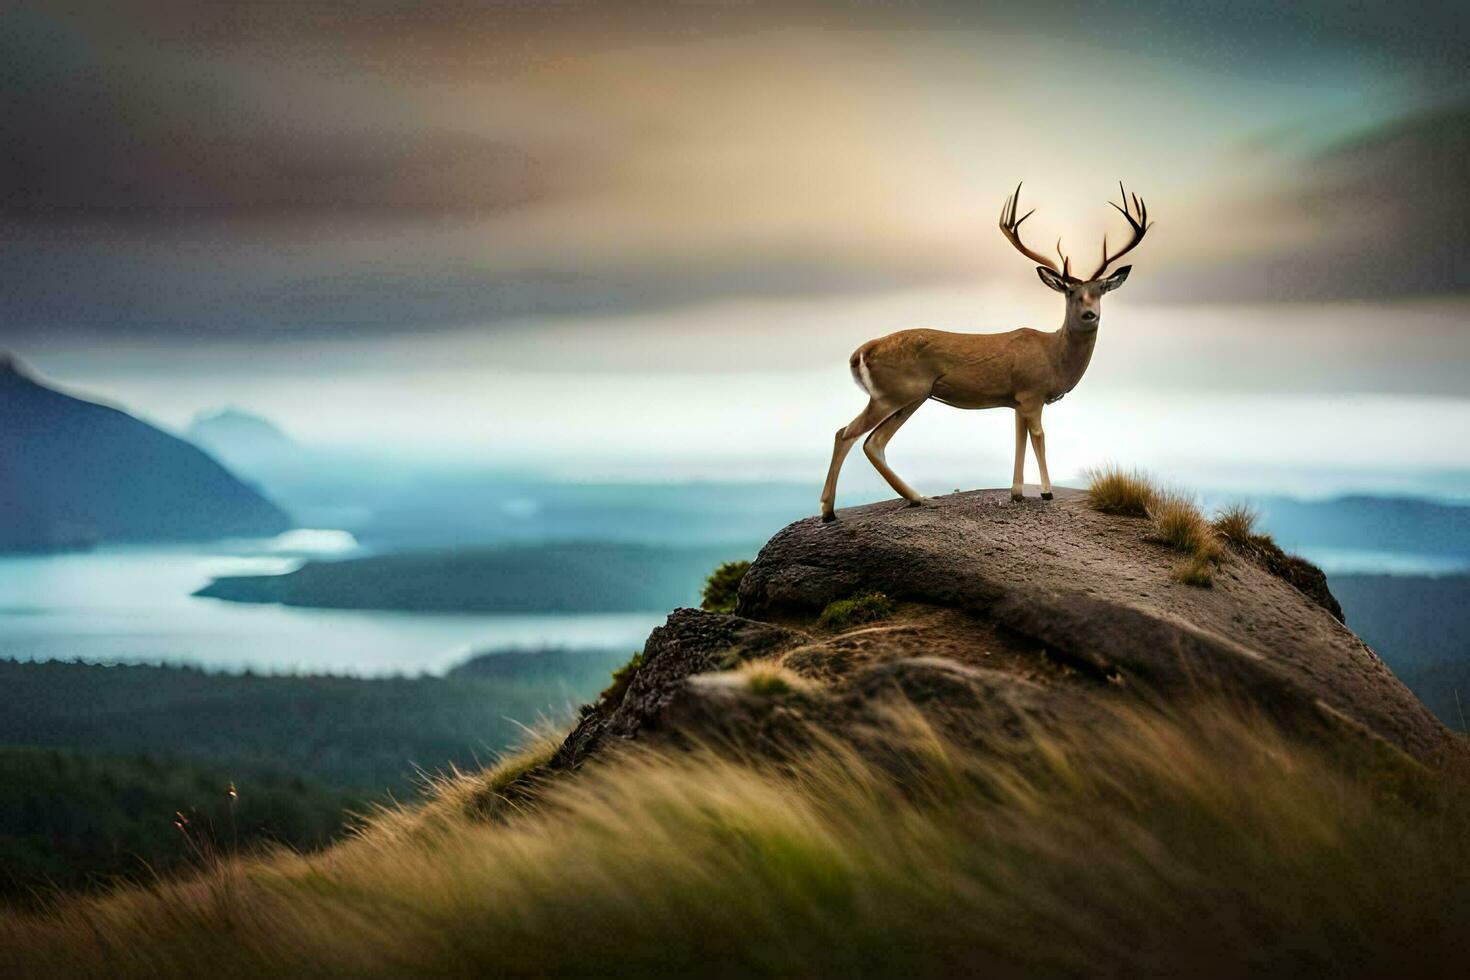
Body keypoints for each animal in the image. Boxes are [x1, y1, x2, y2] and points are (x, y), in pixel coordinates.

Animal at [817, 181, 1146, 525]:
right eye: (1070, 292)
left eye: (1100, 290)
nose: (1089, 314)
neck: (1054, 356)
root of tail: (860, 352)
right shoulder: (1032, 392)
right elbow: (1039, 436)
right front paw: (1046, 492)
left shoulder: (1017, 400)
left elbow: (1019, 439)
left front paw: (1017, 492)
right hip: (895, 393)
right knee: (847, 434)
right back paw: (829, 511)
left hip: (910, 396)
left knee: (873, 442)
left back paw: (917, 498)